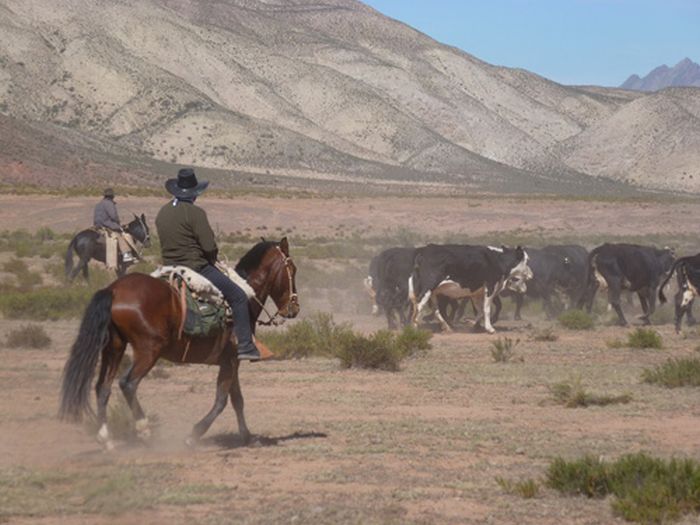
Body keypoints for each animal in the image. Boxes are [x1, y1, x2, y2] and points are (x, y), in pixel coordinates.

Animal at [59, 237, 298, 446]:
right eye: (293, 269)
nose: (294, 308)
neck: (245, 298)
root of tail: (113, 289)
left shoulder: (230, 361)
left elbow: (237, 399)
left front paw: (247, 437)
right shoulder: (231, 360)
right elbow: (222, 400)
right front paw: (194, 434)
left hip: (114, 348)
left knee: (103, 387)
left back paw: (105, 438)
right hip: (148, 351)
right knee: (128, 384)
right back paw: (144, 429)